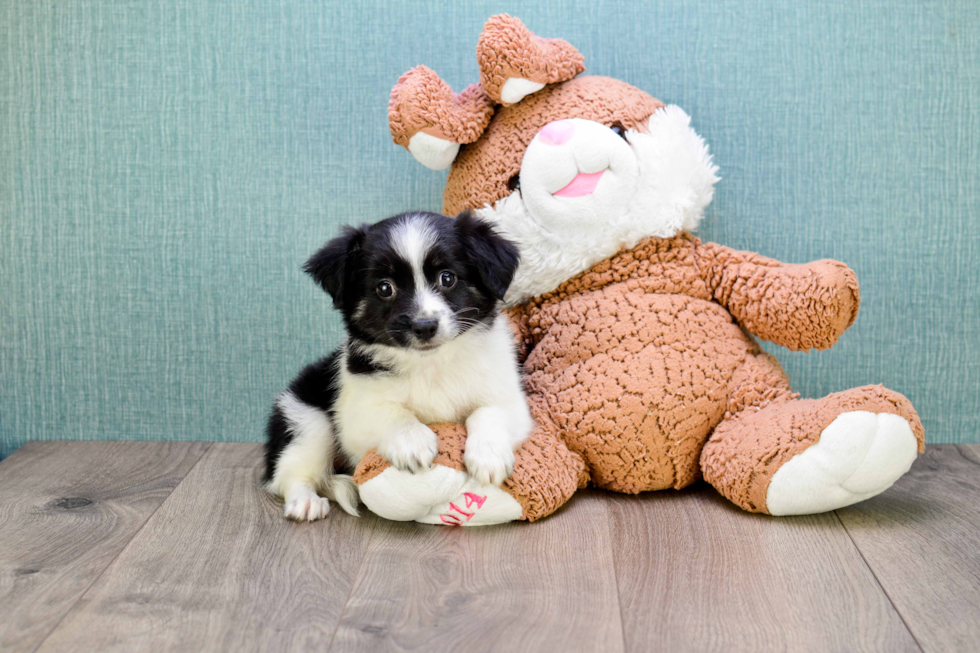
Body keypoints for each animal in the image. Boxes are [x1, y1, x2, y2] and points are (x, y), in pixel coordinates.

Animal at [264, 211, 532, 524]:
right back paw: (305, 501)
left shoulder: (510, 399)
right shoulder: (354, 415)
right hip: (305, 417)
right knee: (288, 475)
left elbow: (489, 411)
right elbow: (393, 413)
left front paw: (488, 456)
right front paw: (412, 443)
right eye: (384, 288)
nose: (424, 326)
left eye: (447, 278)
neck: (430, 363)